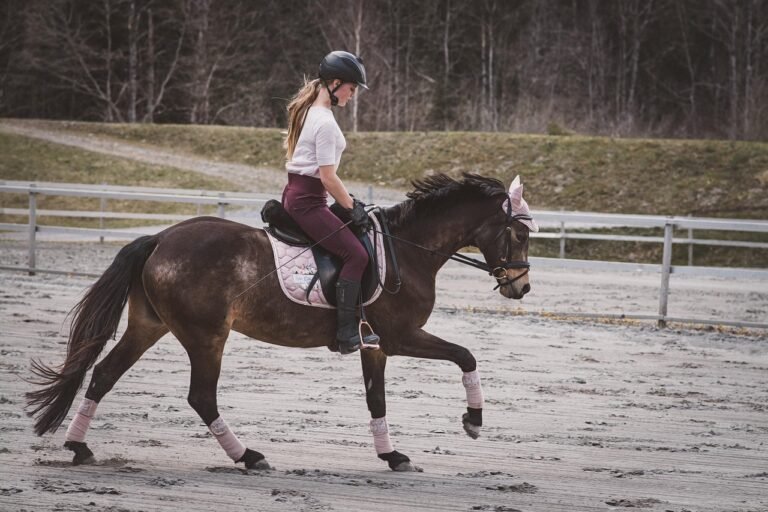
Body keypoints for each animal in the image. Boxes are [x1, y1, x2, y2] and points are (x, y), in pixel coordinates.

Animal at [26, 173, 537, 472]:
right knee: (201, 396)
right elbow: (465, 355)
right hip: (206, 335)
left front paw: (391, 455)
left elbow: (376, 400)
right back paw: (249, 456)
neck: (409, 250)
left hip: (149, 326)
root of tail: (160, 238)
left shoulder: (375, 345)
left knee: (104, 374)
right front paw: (473, 421)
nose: (521, 287)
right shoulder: (400, 336)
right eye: (518, 232)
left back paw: (79, 447)